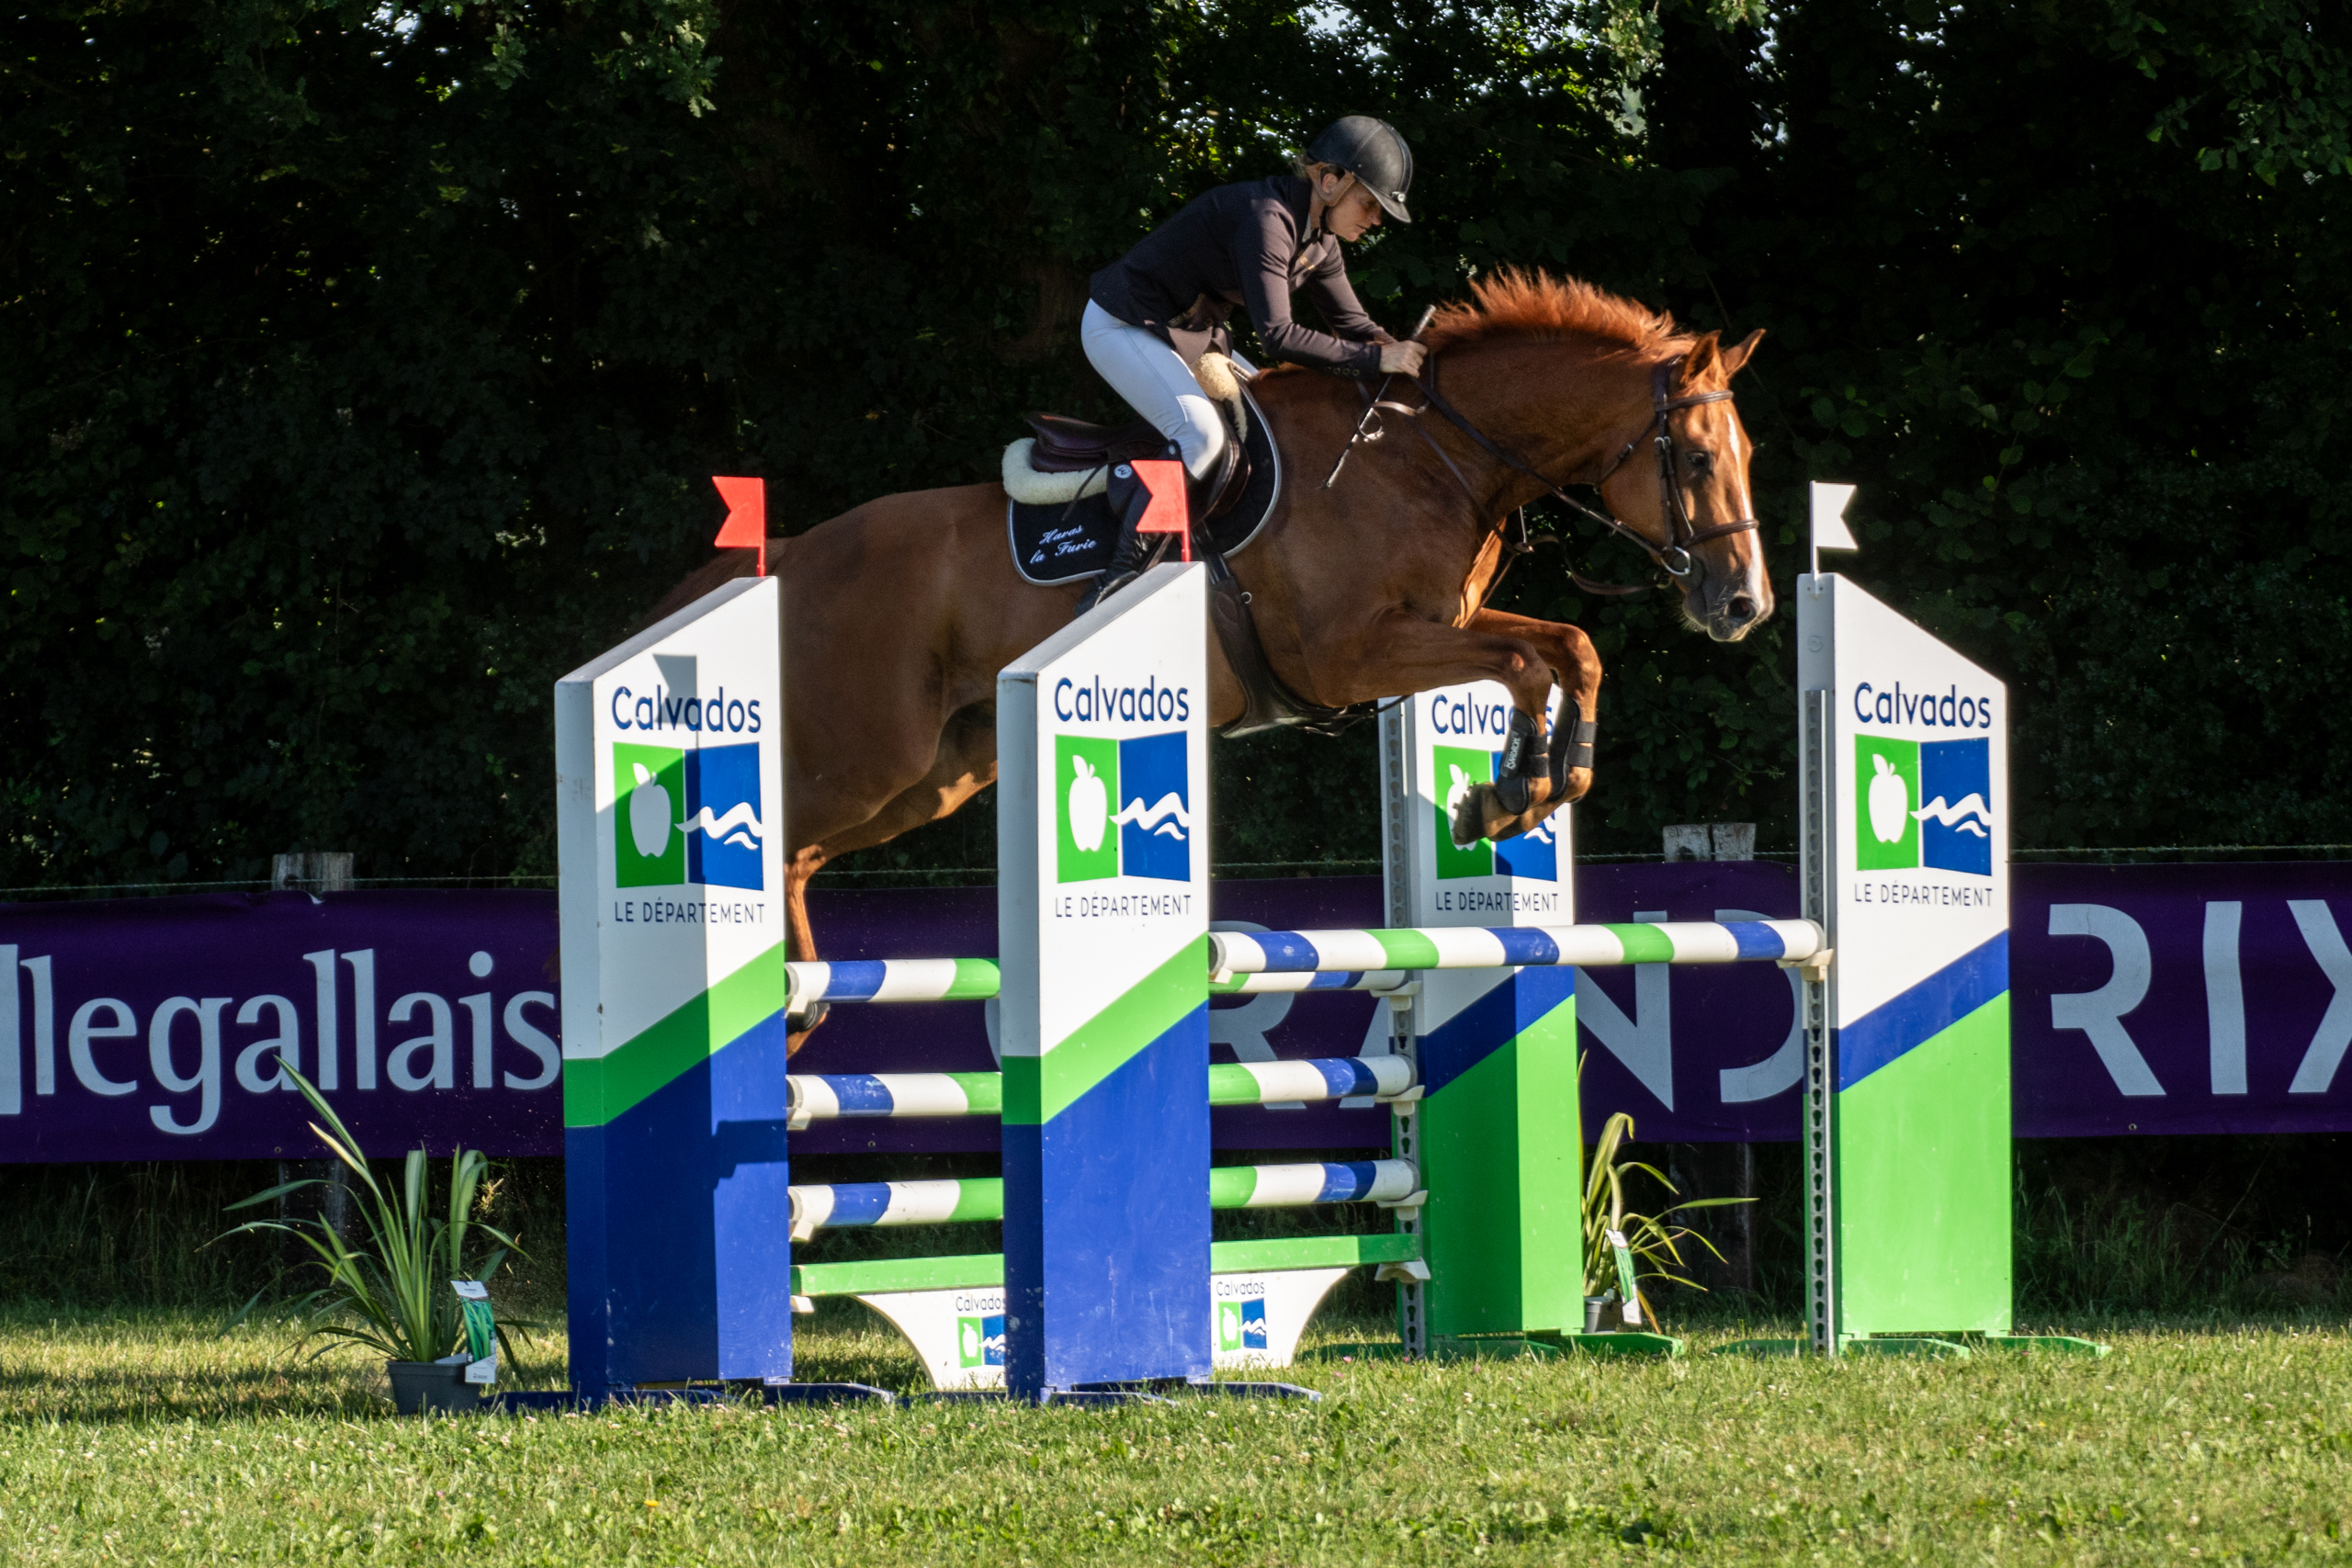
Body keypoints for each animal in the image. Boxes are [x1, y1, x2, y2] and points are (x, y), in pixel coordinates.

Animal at [649, 270, 1770, 1050]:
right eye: (1697, 459)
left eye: (1747, 457)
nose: (1743, 604)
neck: (1426, 457)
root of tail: (797, 550)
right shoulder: (1354, 655)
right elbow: (1541, 657)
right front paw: (1515, 789)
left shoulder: (1434, 630)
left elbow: (1561, 651)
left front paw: (1531, 786)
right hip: (870, 755)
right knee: (775, 838)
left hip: (941, 772)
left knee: (797, 853)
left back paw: (796, 1013)